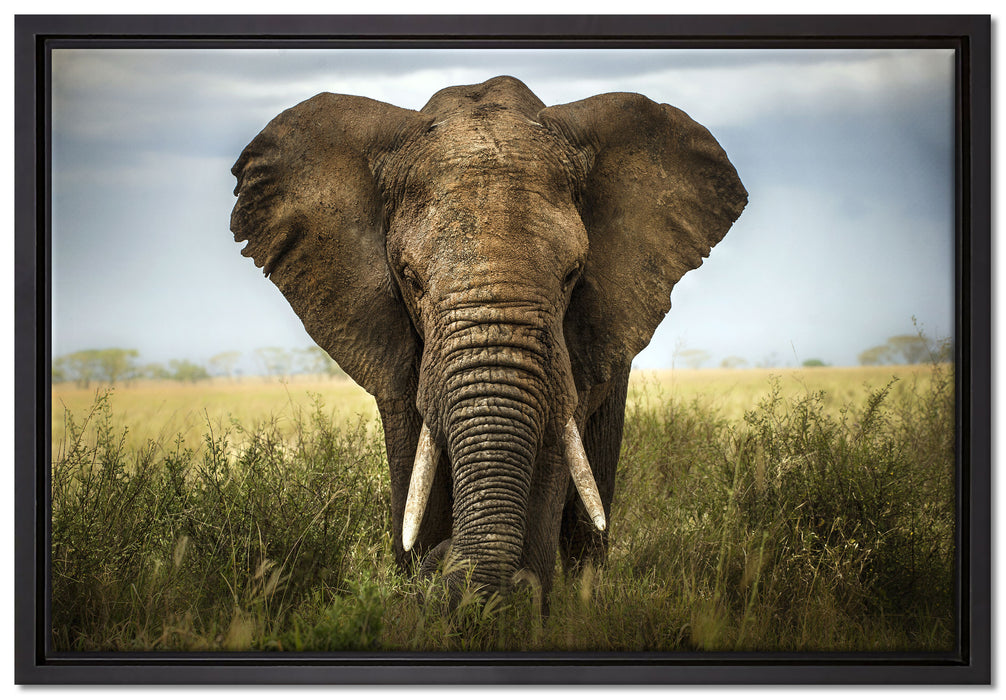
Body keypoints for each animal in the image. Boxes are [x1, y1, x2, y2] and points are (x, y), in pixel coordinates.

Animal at [230, 75, 746, 603]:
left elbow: (551, 457)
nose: (443, 562)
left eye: (572, 275)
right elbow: (414, 463)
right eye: (410, 279)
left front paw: (517, 602)